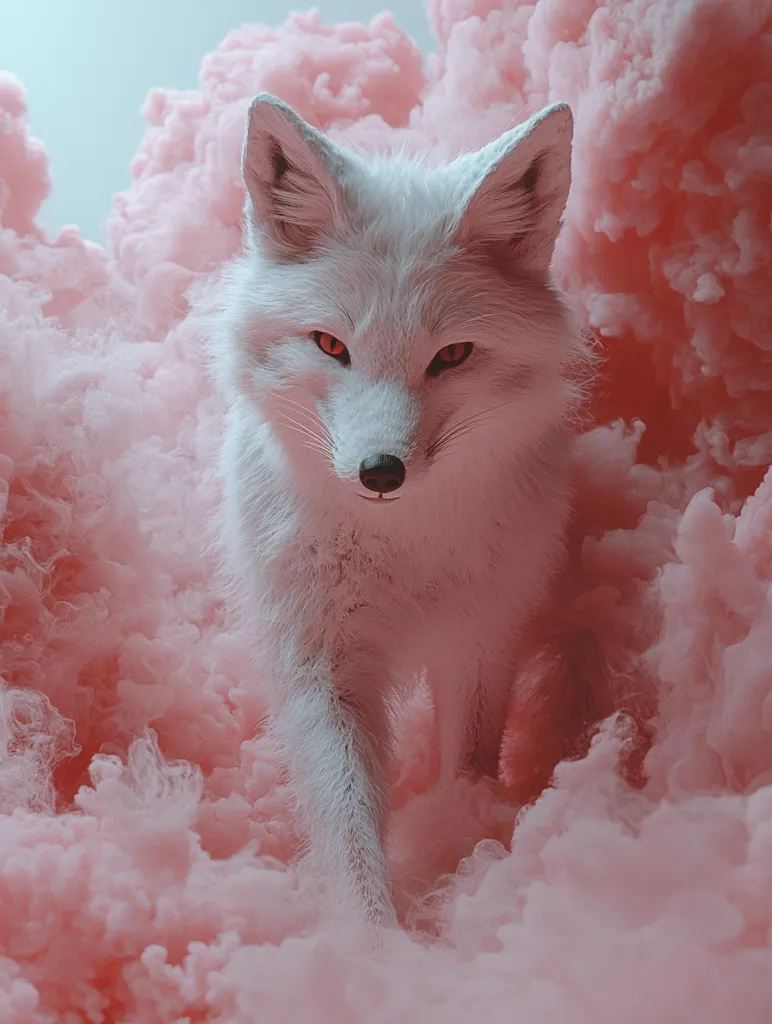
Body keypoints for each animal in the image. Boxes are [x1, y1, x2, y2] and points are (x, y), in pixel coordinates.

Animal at [212, 92, 590, 931]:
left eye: (451, 356)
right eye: (330, 346)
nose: (380, 472)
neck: (400, 548)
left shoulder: (482, 635)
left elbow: (471, 759)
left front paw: (463, 843)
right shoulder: (321, 663)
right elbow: (347, 824)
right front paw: (376, 943)